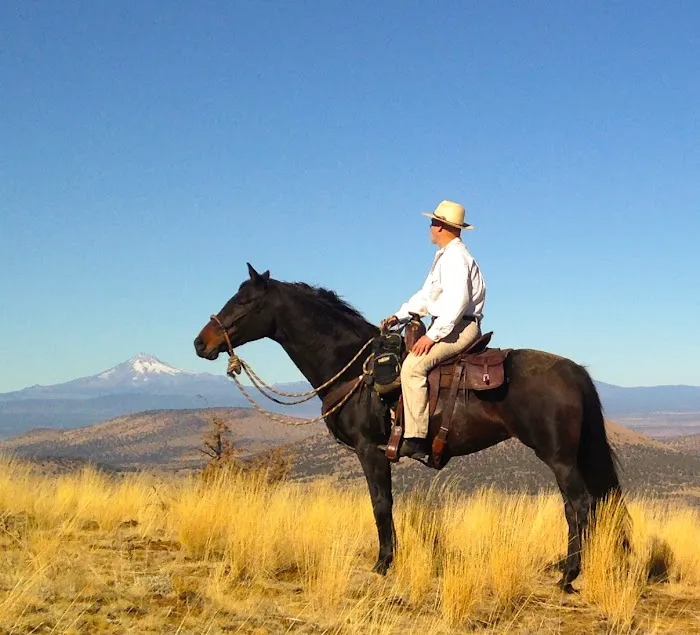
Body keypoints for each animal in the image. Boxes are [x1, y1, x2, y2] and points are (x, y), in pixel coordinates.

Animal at [194, 263, 625, 592]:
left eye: (245, 301)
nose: (201, 342)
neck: (357, 368)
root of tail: (575, 371)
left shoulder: (370, 450)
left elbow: (381, 505)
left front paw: (384, 563)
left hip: (559, 457)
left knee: (579, 505)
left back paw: (569, 575)